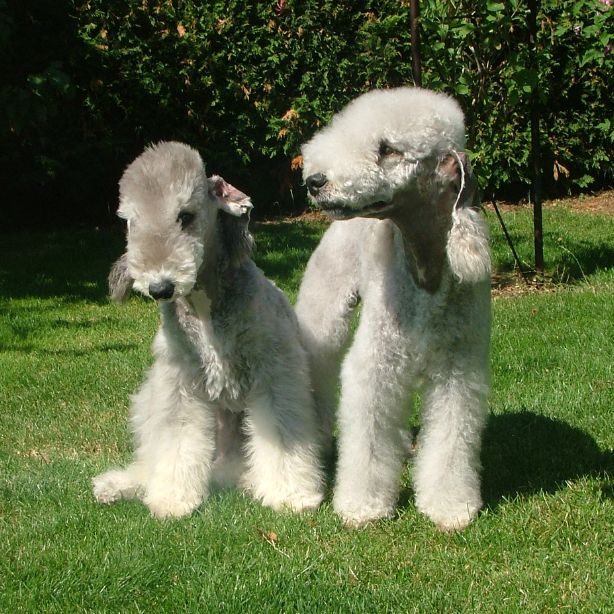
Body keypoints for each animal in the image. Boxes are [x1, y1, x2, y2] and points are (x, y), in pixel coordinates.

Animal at [94, 141, 324, 520]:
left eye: (185, 216)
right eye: (129, 221)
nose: (159, 287)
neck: (205, 306)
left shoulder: (274, 372)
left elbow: (282, 431)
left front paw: (291, 494)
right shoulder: (179, 382)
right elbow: (175, 440)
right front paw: (172, 498)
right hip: (151, 397)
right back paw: (118, 485)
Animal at [296, 89, 494, 532]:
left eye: (387, 149)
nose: (315, 181)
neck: (425, 267)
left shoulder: (459, 366)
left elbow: (452, 438)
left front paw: (450, 506)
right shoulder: (376, 362)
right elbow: (367, 437)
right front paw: (362, 506)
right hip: (324, 313)